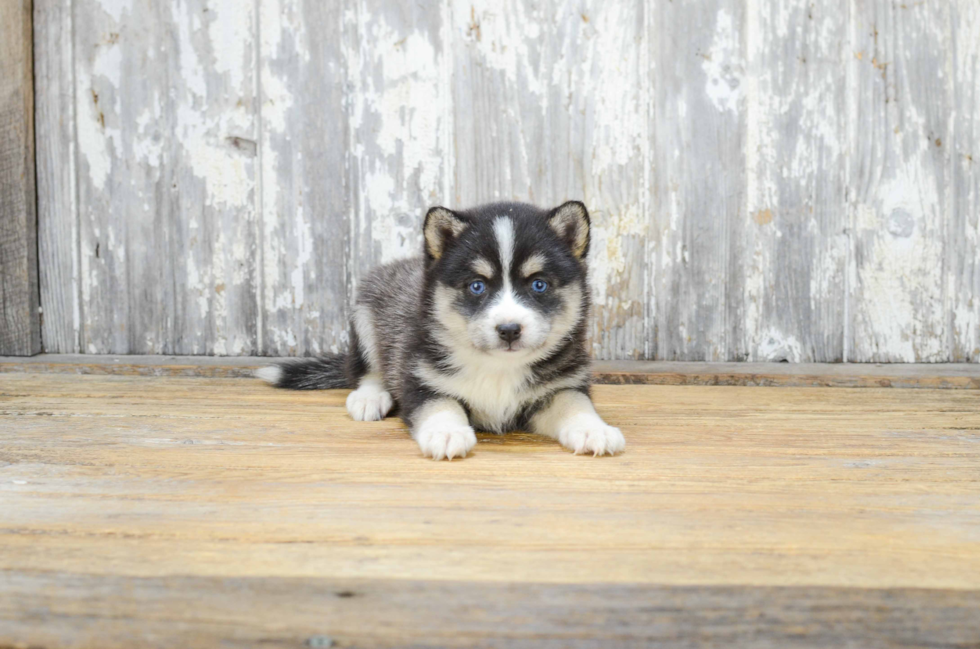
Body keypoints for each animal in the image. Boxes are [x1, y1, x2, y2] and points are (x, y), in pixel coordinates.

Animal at [258, 200, 628, 458]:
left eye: (539, 284)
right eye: (477, 286)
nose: (509, 329)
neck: (498, 369)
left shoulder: (561, 386)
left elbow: (574, 405)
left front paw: (594, 430)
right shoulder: (421, 379)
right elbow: (442, 407)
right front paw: (447, 433)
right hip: (365, 313)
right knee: (366, 370)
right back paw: (369, 397)